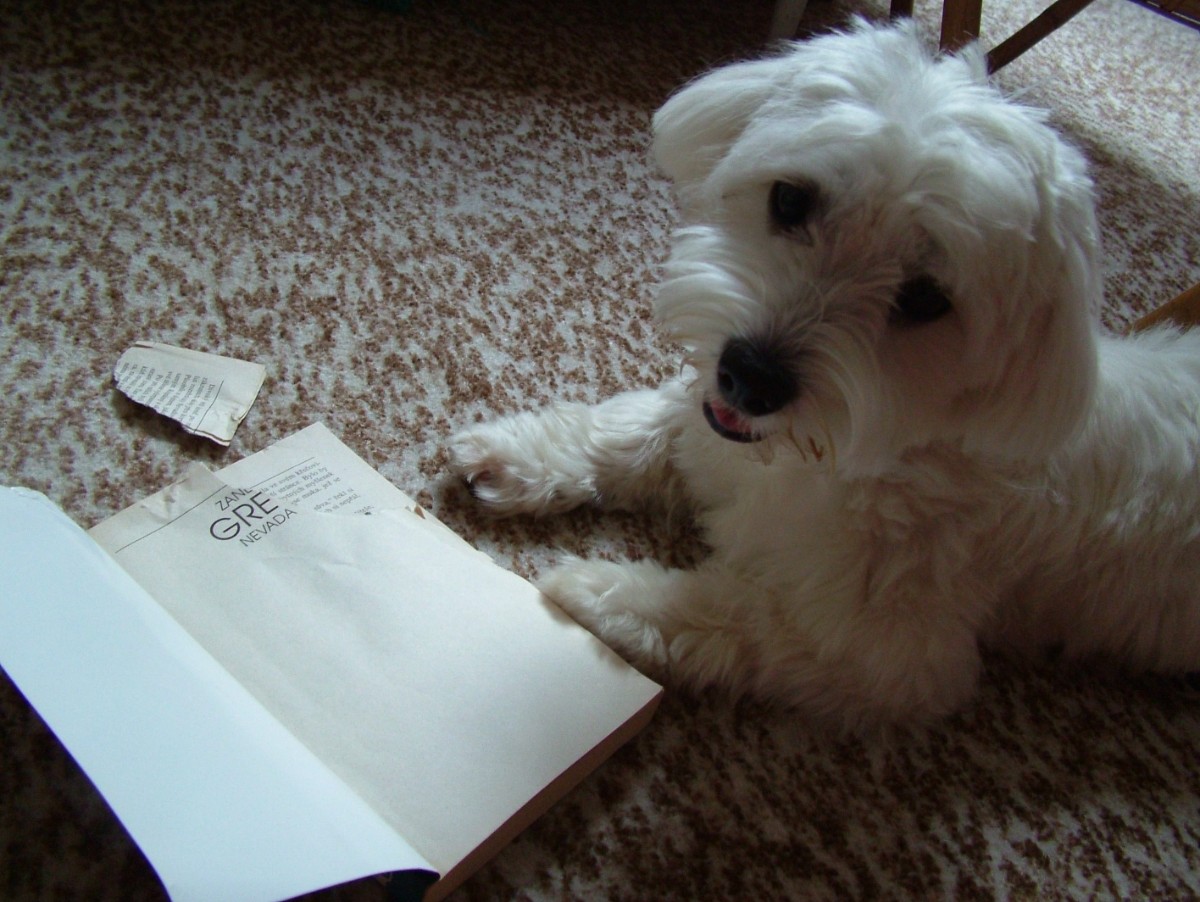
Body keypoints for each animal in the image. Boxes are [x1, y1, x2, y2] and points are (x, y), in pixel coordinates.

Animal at [449, 19, 1200, 732]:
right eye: (790, 200)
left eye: (927, 299)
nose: (750, 377)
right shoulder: (704, 434)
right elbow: (629, 432)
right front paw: (518, 455)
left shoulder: (887, 657)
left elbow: (734, 614)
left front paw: (606, 595)